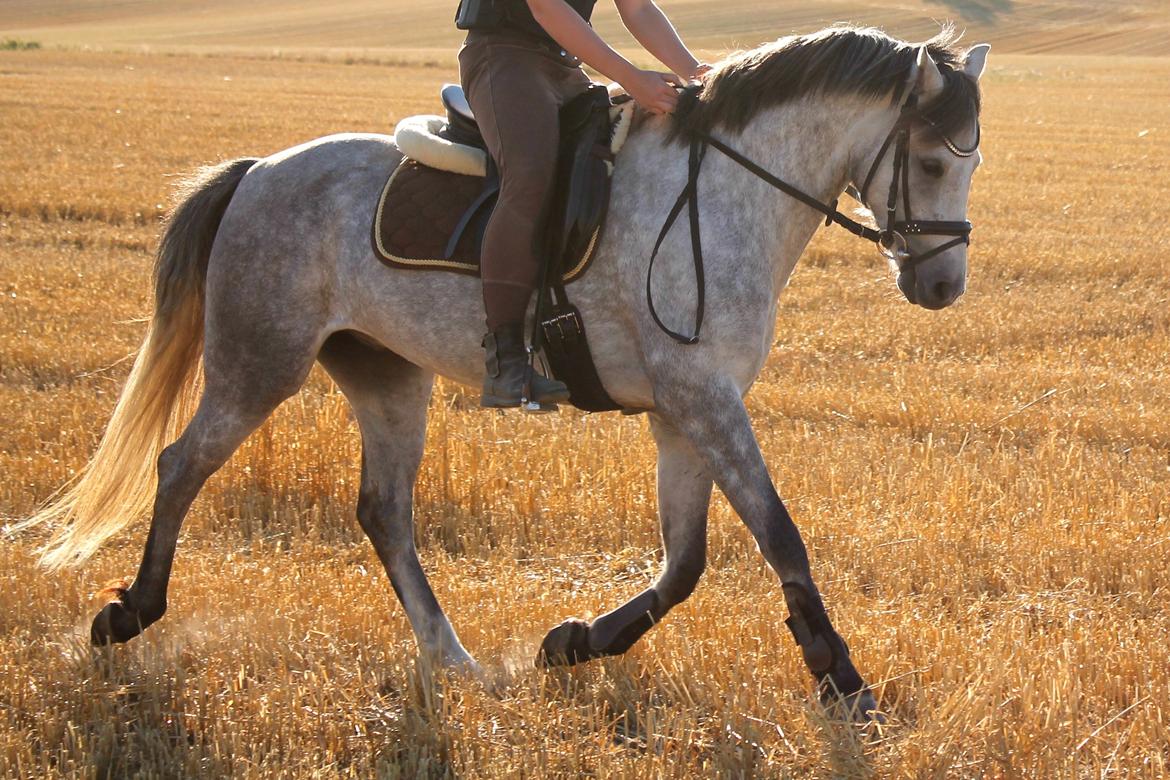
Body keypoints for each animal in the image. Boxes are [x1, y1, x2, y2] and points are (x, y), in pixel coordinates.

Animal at [25, 25, 987, 720]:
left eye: (972, 160)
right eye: (932, 159)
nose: (942, 286)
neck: (722, 194)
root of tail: (258, 170)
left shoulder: (684, 411)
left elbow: (686, 561)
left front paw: (574, 642)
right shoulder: (704, 401)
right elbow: (778, 535)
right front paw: (843, 681)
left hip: (386, 376)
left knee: (384, 511)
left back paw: (451, 657)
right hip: (259, 360)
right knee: (181, 463)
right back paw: (126, 613)